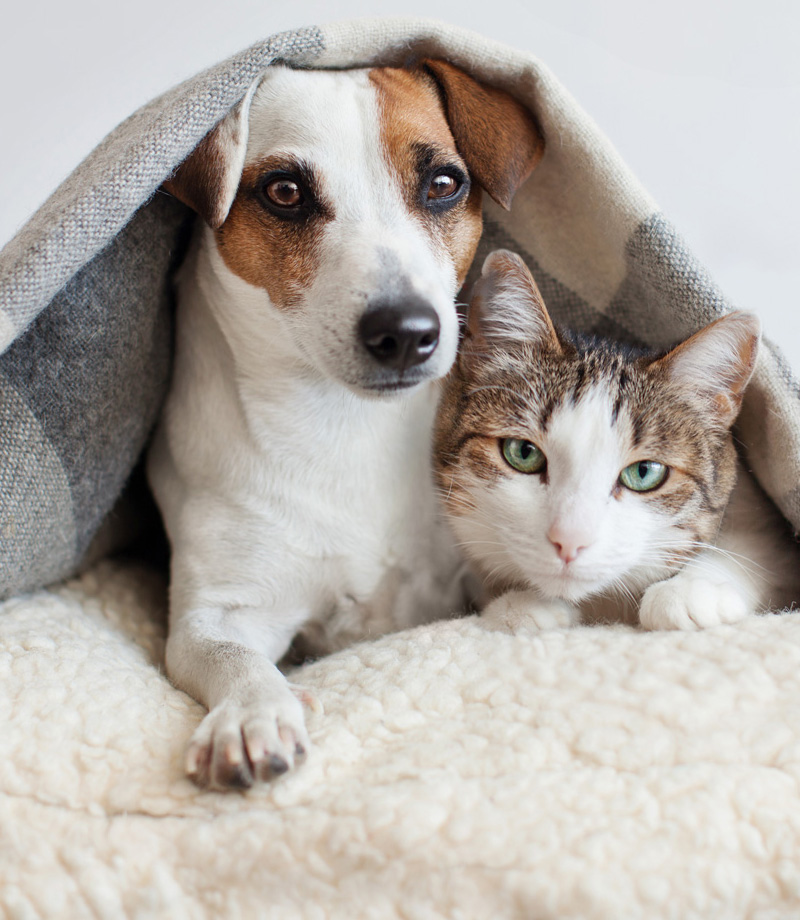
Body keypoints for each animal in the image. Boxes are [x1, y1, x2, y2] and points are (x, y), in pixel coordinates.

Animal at [149, 59, 544, 792]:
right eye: (284, 192)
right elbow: (231, 658)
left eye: (443, 184)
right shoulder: (215, 613)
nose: (407, 332)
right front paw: (251, 714)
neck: (344, 426)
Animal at [434, 252, 796, 632]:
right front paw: (519, 604)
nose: (570, 541)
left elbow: (758, 549)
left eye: (645, 472)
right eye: (523, 453)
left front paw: (692, 589)